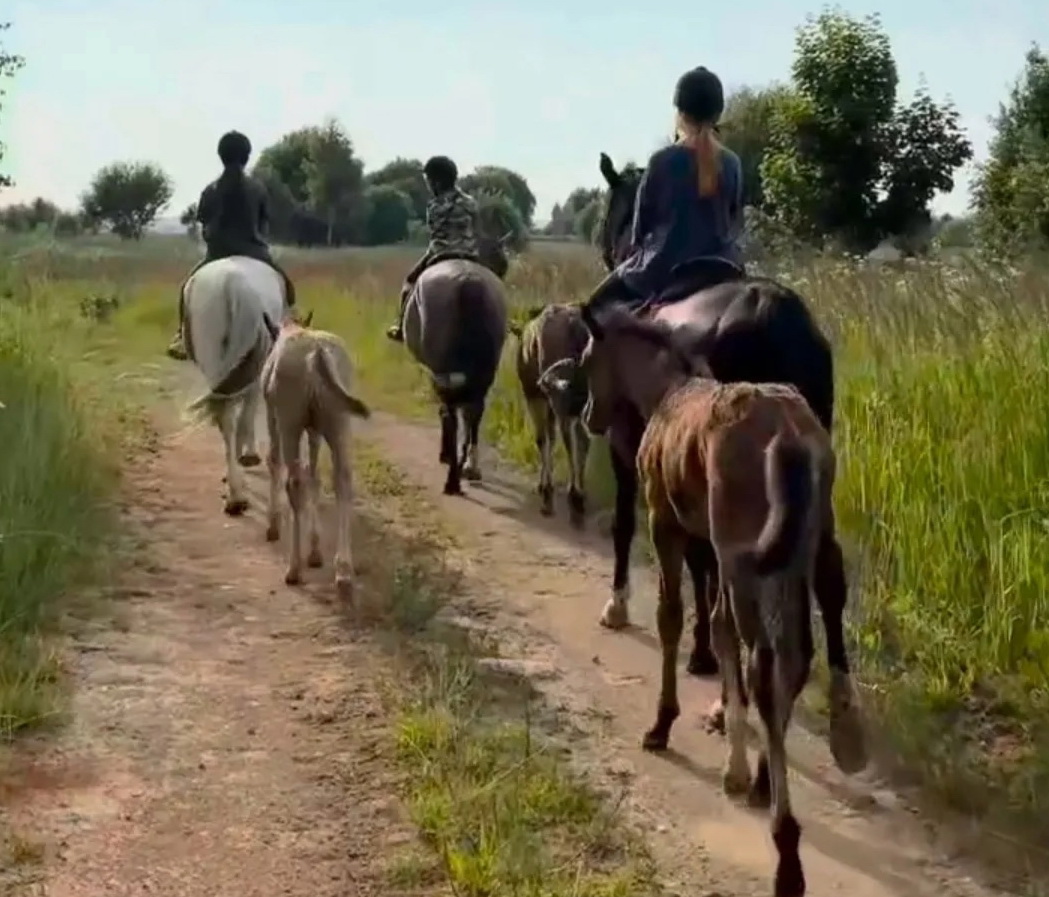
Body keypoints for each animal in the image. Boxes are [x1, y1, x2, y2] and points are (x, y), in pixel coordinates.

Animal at [182, 256, 289, 516]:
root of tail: (230, 285)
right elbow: (248, 412)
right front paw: (249, 454)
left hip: (213, 359)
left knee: (225, 418)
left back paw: (233, 492)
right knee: (236, 416)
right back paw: (238, 489)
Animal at [591, 152, 854, 738]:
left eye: (616, 209)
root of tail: (779, 318)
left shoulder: (633, 458)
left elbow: (635, 531)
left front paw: (623, 609)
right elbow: (703, 565)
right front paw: (706, 653)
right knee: (827, 575)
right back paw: (841, 706)